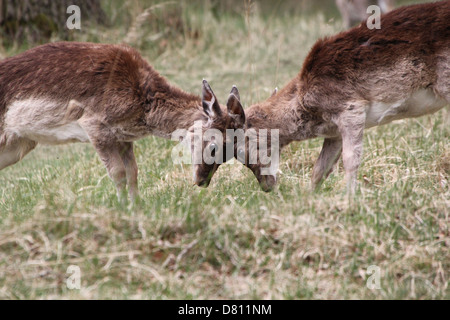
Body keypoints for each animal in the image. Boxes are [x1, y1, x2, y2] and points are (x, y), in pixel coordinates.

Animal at [0, 42, 243, 201]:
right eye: (214, 147)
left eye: (230, 153)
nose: (202, 181)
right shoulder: (94, 125)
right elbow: (117, 172)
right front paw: (122, 206)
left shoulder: (124, 136)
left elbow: (133, 171)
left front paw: (137, 204)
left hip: (19, 144)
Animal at [196, 0, 450, 192]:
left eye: (236, 150)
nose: (267, 186)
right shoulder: (334, 131)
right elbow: (320, 169)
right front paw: (309, 198)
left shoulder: (351, 108)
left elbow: (350, 160)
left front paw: (350, 199)